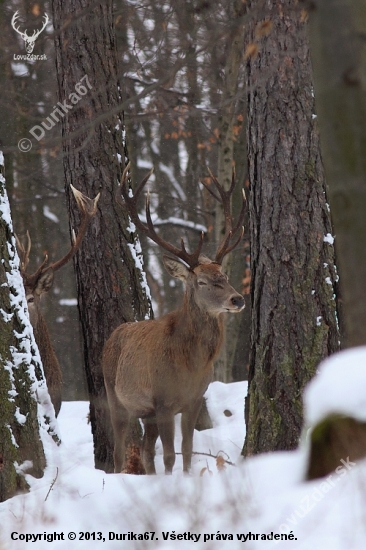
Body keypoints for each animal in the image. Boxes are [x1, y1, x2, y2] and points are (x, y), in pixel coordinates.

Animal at [102, 165, 246, 474]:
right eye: (202, 282)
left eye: (225, 276)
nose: (237, 299)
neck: (191, 365)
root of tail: (114, 333)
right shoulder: (164, 401)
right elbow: (169, 454)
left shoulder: (194, 399)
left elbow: (187, 450)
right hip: (114, 395)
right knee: (119, 452)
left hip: (146, 412)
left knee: (146, 452)